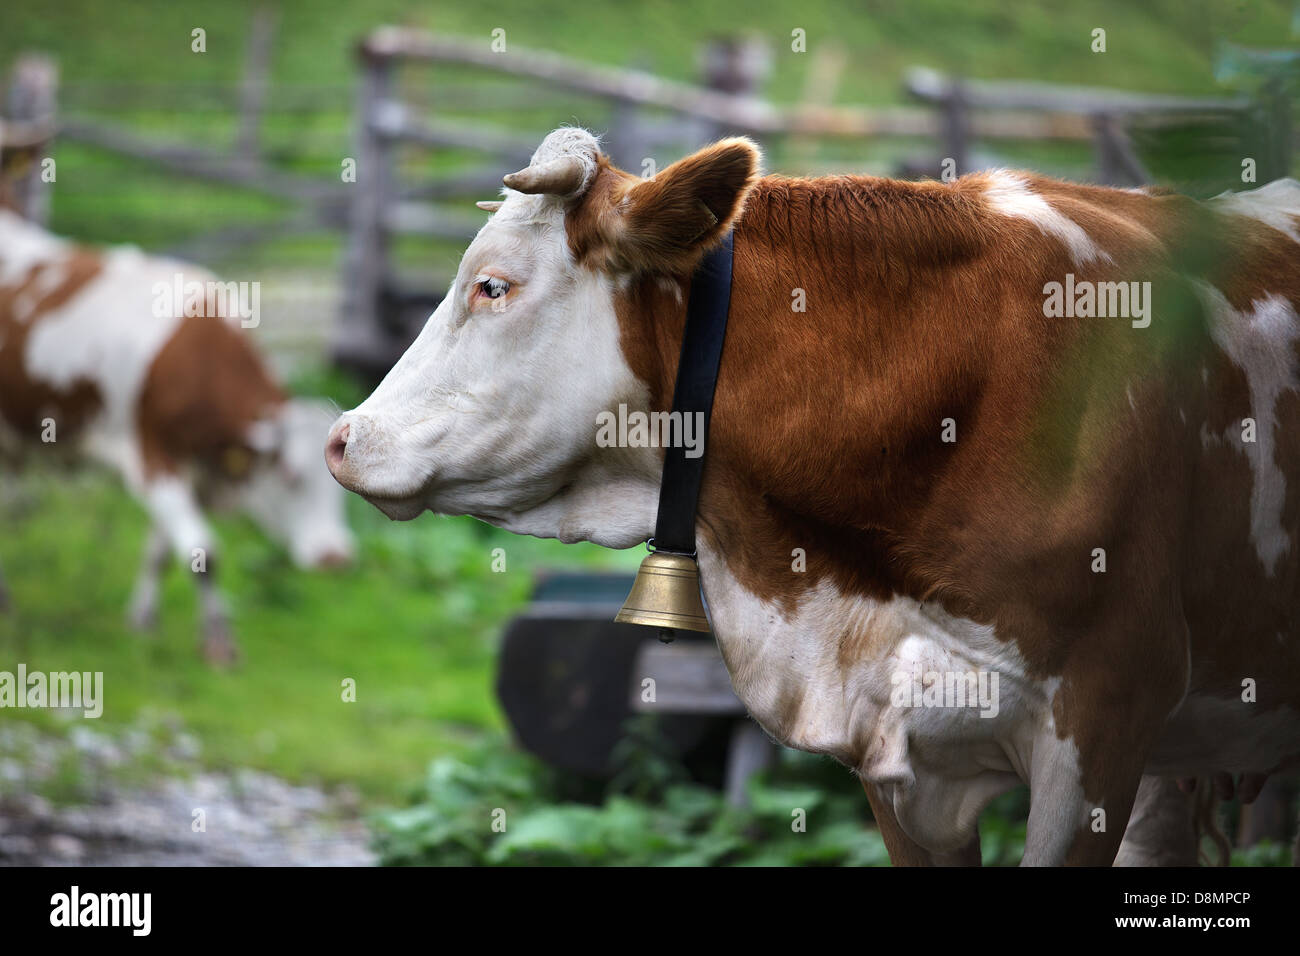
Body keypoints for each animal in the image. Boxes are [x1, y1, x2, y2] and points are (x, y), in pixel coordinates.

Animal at [0, 185, 354, 664]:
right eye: (289, 476)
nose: (336, 558)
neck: (192, 356)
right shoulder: (150, 457)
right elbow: (205, 550)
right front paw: (220, 642)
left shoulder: (196, 468)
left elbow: (162, 551)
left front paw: (143, 620)